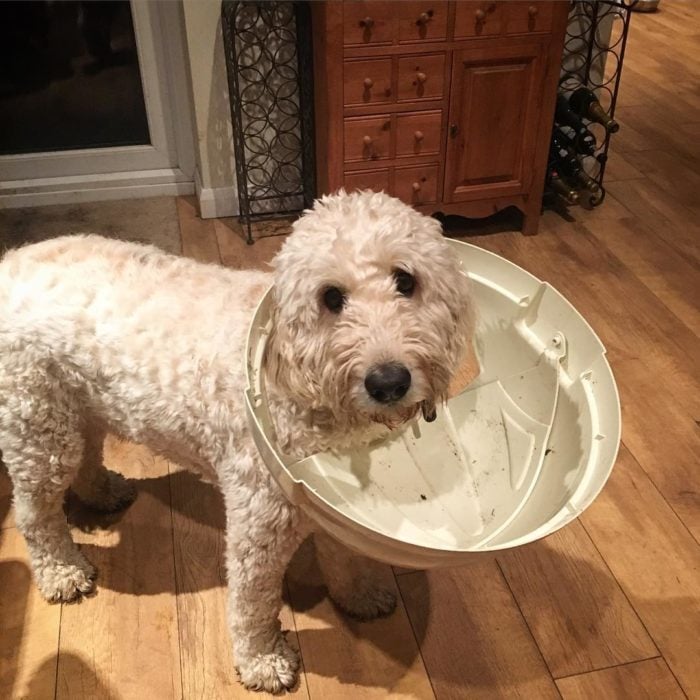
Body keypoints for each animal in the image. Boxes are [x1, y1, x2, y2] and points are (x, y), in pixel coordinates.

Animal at [0, 189, 474, 692]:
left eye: (406, 280)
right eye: (331, 297)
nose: (389, 381)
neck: (297, 380)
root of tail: (10, 261)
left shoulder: (331, 505)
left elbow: (344, 556)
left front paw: (358, 593)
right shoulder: (259, 521)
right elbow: (253, 600)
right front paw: (262, 660)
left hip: (77, 409)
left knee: (87, 457)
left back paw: (102, 492)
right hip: (38, 426)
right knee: (35, 513)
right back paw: (61, 571)